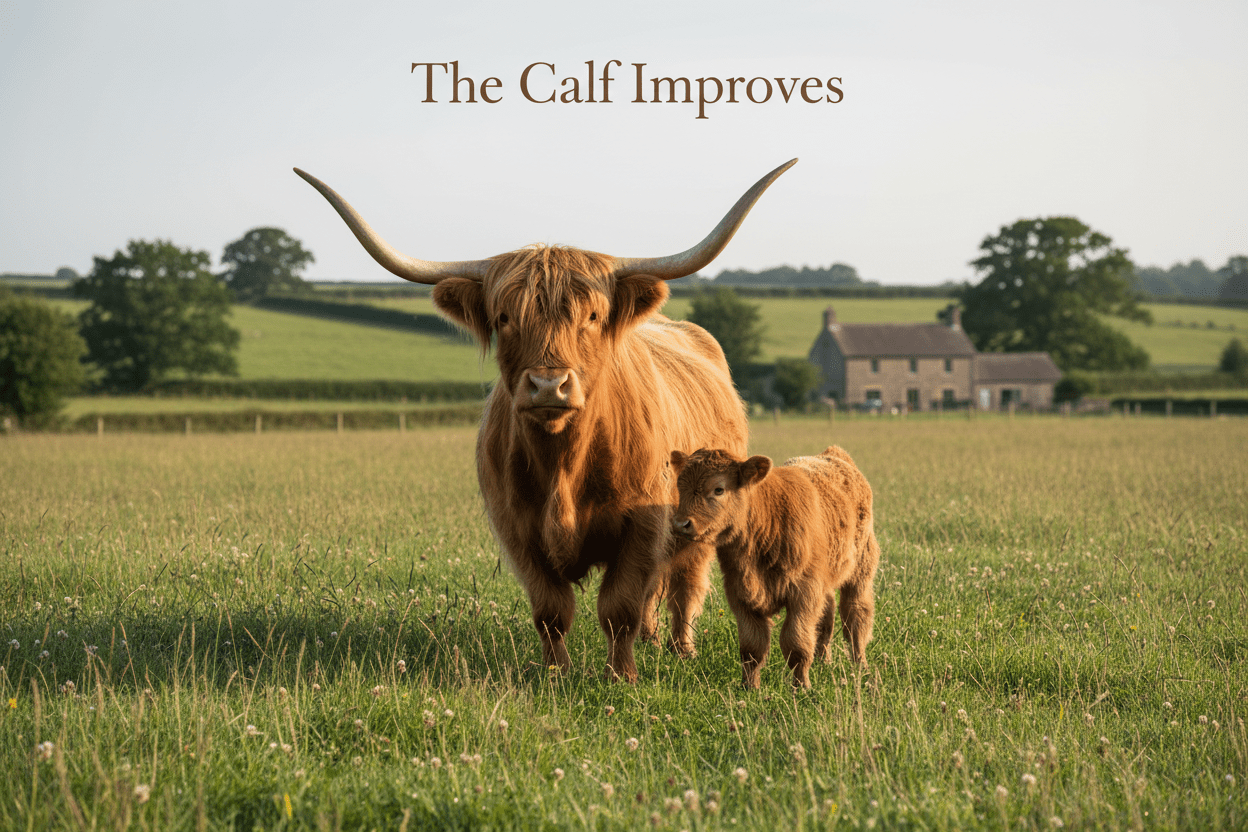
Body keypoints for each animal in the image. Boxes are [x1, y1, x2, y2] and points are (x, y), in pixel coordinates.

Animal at [294, 160, 796, 682]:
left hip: (699, 522)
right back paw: (655, 642)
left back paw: (681, 649)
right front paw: (556, 674)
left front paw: (621, 676)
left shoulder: (644, 523)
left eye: (592, 315)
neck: (564, 465)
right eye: (504, 317)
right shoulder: (516, 528)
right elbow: (552, 610)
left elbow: (620, 607)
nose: (548, 385)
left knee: (685, 587)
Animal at [669, 446, 879, 689]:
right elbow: (752, 648)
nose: (680, 524)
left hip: (860, 571)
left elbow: (796, 643)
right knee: (826, 617)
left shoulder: (804, 593)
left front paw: (801, 687)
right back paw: (823, 661)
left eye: (719, 489)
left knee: (856, 618)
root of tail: (833, 455)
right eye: (679, 485)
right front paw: (749, 687)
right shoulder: (740, 594)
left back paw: (860, 665)